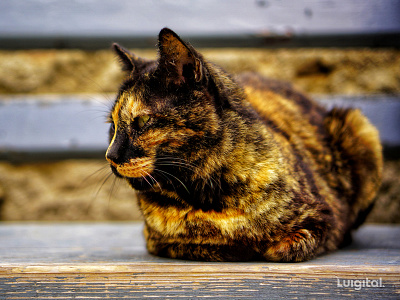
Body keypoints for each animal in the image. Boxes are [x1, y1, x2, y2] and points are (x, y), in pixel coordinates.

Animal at [104, 28, 382, 262]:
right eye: (113, 126)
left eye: (142, 121)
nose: (110, 155)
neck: (203, 196)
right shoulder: (158, 240)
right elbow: (195, 244)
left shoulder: (325, 218)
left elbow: (281, 249)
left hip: (359, 127)